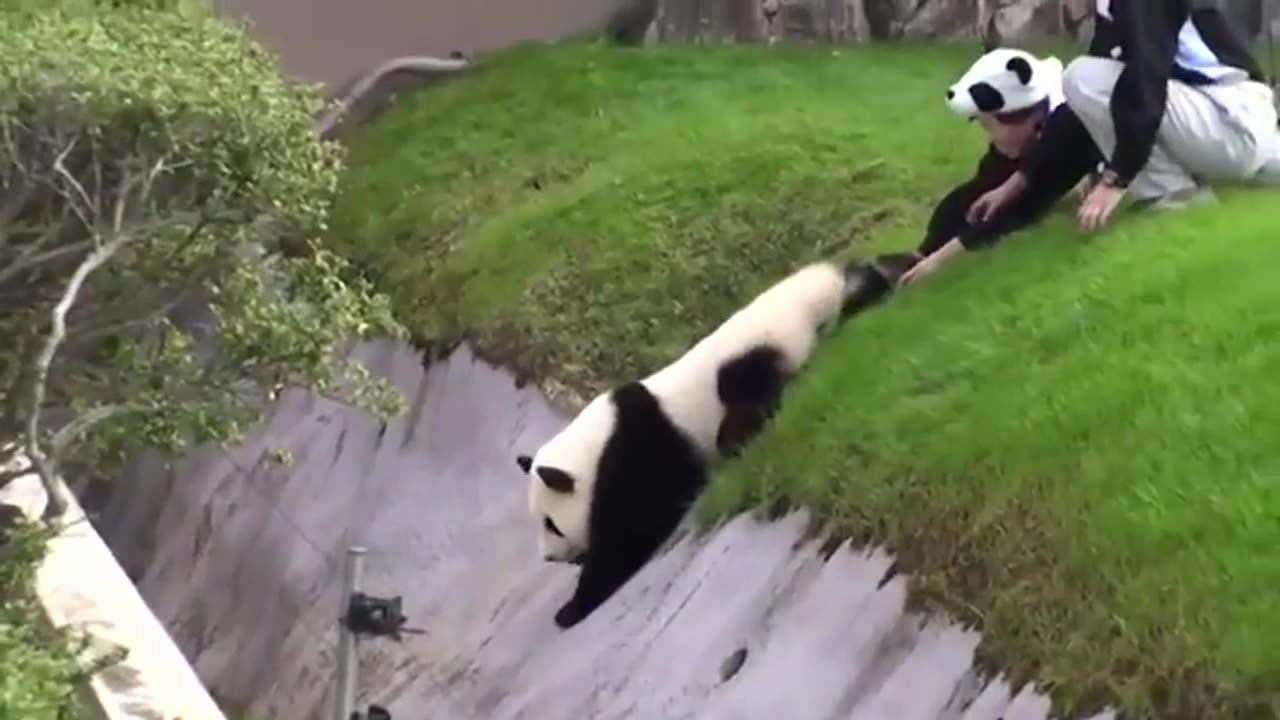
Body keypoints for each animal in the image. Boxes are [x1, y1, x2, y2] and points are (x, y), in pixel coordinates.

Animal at [515, 257, 890, 629]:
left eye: (551, 523)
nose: (549, 557)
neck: (591, 443)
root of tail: (825, 283)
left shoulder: (634, 450)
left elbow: (630, 531)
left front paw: (571, 607)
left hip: (749, 357)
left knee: (751, 395)